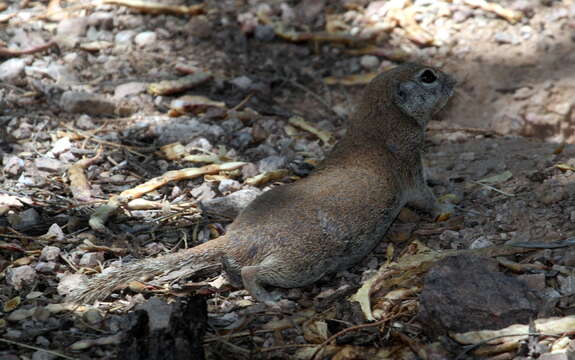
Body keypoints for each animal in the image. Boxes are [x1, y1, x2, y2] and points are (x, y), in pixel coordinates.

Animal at [70, 63, 456, 306]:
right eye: (428, 76)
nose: (454, 81)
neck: (375, 127)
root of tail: (236, 237)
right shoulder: (407, 168)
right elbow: (425, 197)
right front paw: (448, 206)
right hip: (303, 262)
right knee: (255, 271)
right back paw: (270, 298)